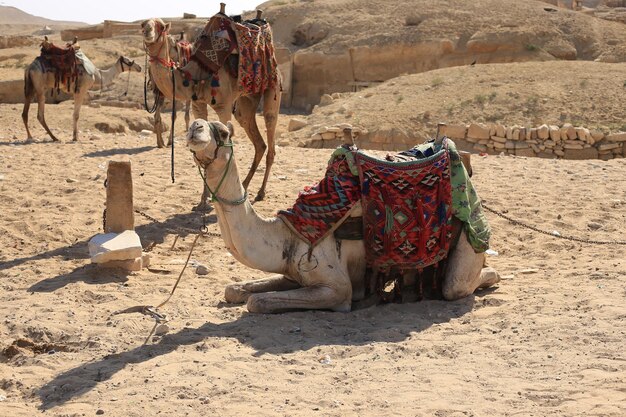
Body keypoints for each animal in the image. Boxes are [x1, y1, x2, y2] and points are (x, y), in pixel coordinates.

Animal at [184, 118, 498, 312]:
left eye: (223, 132)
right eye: (198, 123)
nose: (194, 127)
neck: (289, 233)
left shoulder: (335, 287)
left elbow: (257, 302)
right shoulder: (295, 274)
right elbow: (234, 290)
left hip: (469, 241)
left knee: (456, 286)